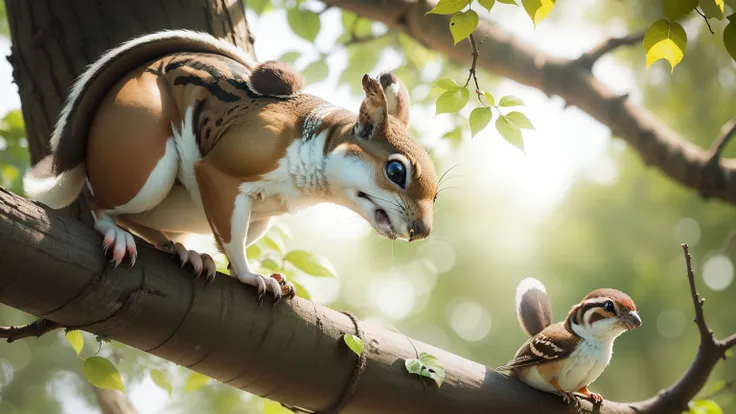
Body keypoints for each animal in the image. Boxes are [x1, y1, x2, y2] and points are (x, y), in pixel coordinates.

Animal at [21, 28, 436, 300]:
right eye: (396, 171)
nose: (422, 231)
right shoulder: (229, 168)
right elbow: (231, 238)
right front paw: (251, 276)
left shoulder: (264, 214)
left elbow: (232, 237)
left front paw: (261, 275)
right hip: (143, 161)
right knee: (102, 206)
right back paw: (117, 234)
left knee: (142, 221)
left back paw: (183, 250)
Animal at [498, 278, 640, 408]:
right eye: (608, 306)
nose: (637, 320)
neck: (595, 341)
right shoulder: (551, 372)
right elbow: (555, 382)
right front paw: (565, 393)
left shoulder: (585, 380)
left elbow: (583, 389)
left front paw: (594, 394)